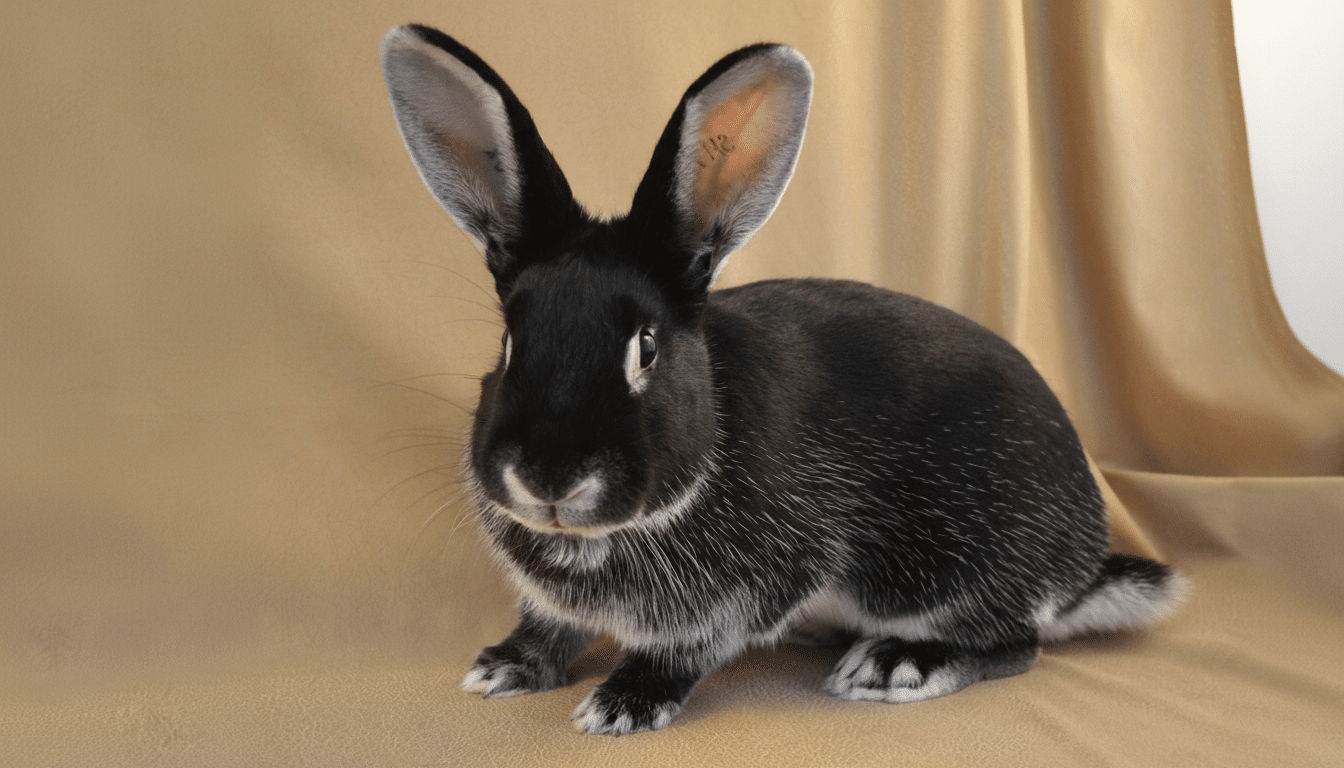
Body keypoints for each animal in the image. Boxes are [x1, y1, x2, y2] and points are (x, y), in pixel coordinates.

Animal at [379, 24, 1187, 736]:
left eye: (646, 348)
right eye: (510, 341)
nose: (548, 478)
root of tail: (1079, 565)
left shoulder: (753, 585)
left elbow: (688, 649)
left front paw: (622, 703)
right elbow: (550, 624)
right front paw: (503, 666)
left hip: (949, 569)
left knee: (1017, 643)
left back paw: (892, 663)